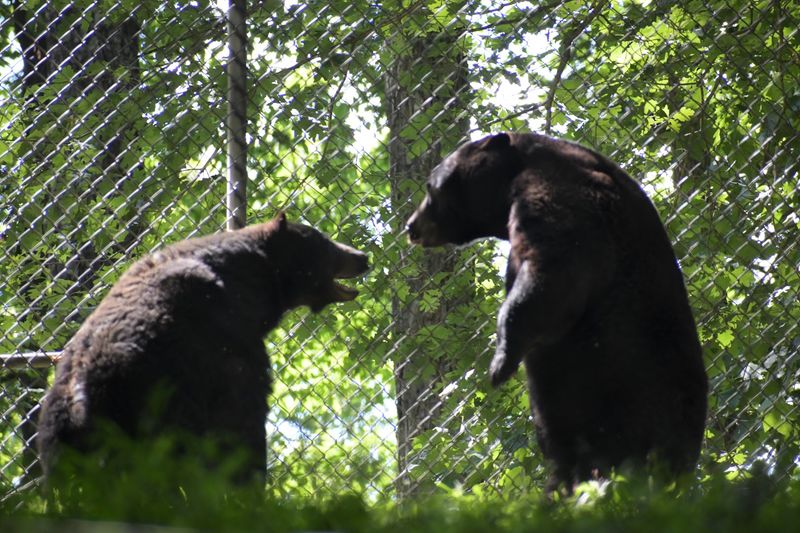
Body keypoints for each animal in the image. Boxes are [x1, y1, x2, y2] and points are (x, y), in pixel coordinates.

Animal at [37, 213, 368, 489]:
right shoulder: (225, 348)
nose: (362, 257)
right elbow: (238, 422)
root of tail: (79, 397)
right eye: (323, 242)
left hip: (60, 444)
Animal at [406, 132, 708, 491]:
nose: (410, 226)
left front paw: (501, 360)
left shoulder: (558, 192)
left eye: (430, 186)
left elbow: (556, 268)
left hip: (633, 401)